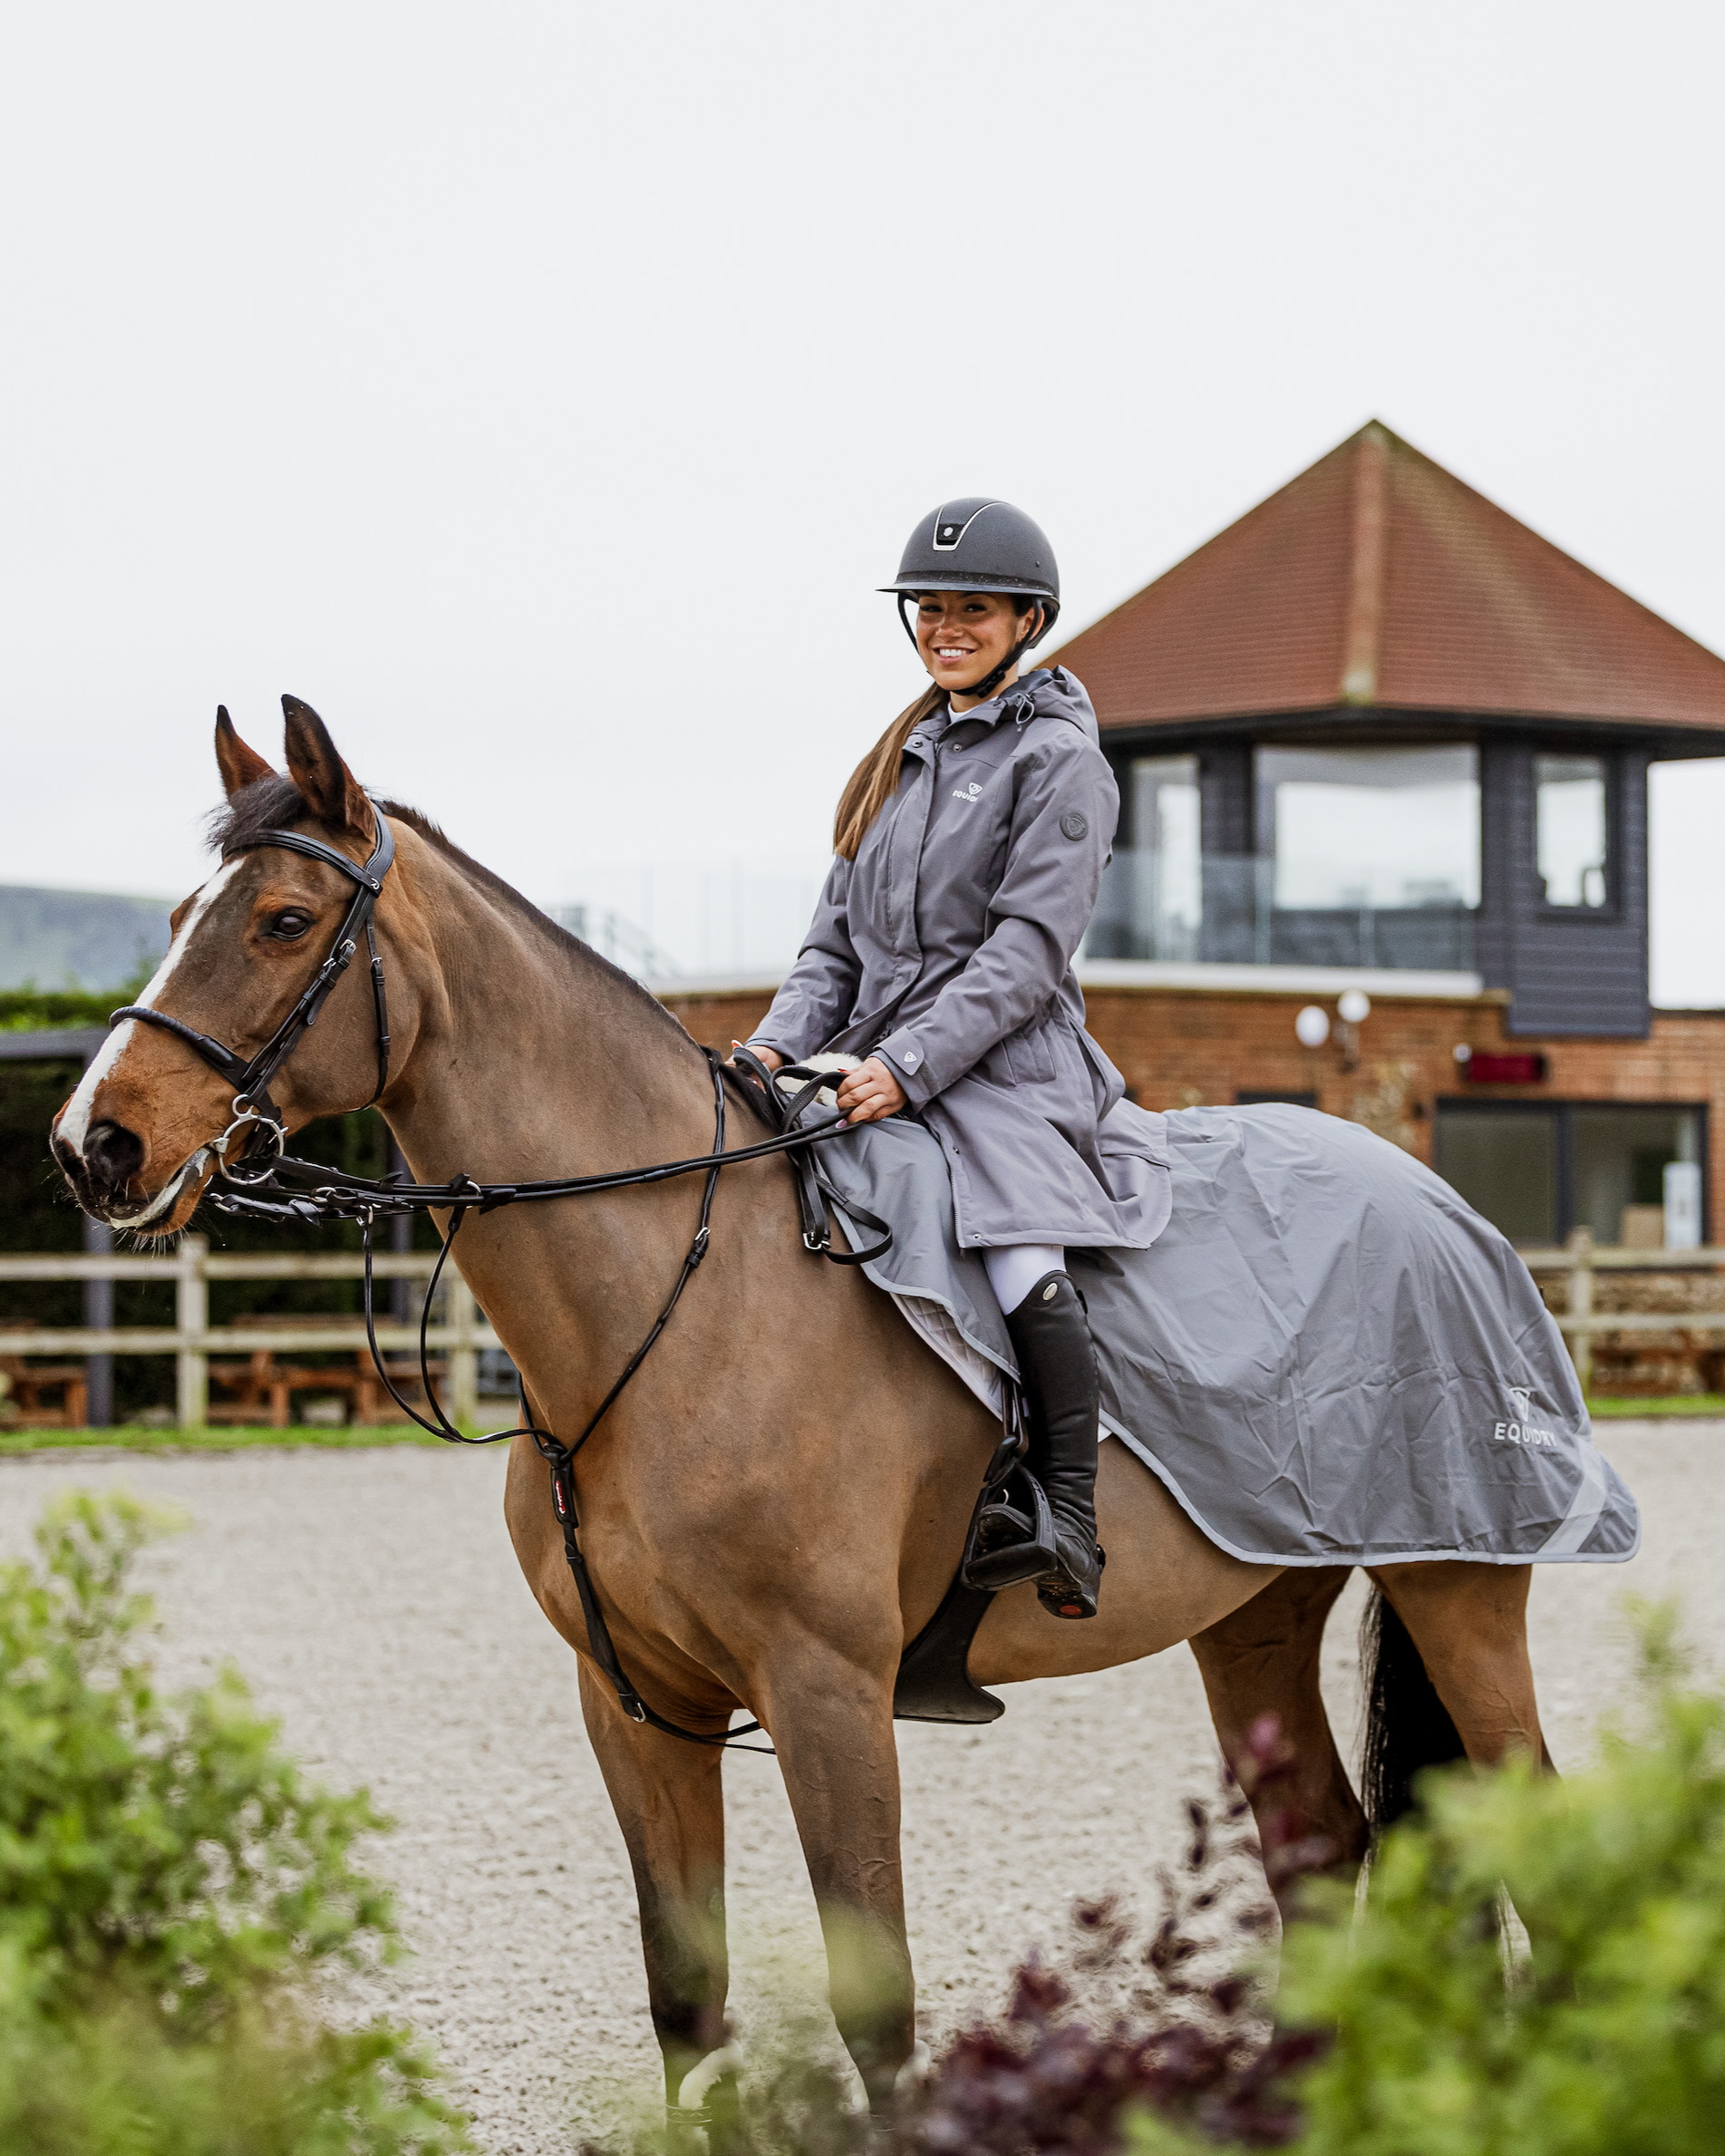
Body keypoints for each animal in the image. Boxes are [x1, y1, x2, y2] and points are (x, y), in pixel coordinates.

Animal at [51, 698, 1553, 2116]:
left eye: (283, 920)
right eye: (180, 918)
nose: (92, 1142)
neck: (678, 1305)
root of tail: (1440, 1205)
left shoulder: (828, 1695)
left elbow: (873, 2013)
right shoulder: (634, 1704)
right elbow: (684, 2003)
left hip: (1455, 1591)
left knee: (1530, 1830)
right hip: (1250, 1619)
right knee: (1325, 1859)